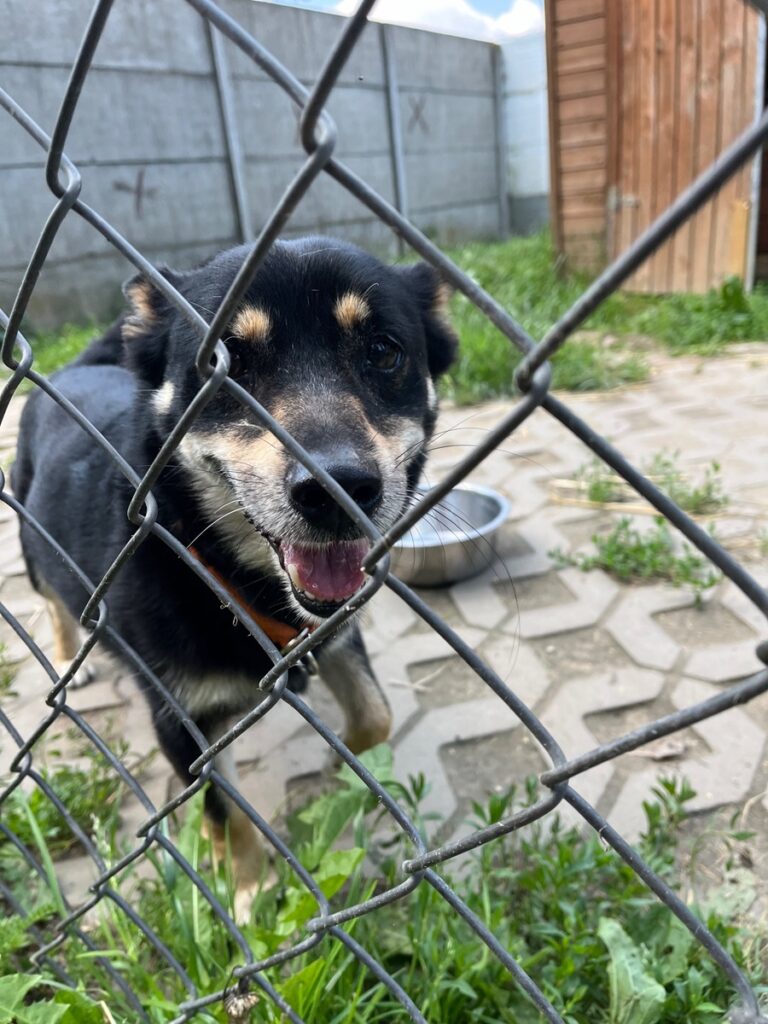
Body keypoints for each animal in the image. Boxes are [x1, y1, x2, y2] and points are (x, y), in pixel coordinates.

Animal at [13, 235, 456, 901]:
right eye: (225, 363)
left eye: (383, 351)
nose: (338, 491)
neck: (223, 575)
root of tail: (71, 371)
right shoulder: (182, 720)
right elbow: (225, 813)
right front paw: (248, 893)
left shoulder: (337, 635)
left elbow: (376, 716)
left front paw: (339, 766)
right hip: (30, 540)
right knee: (52, 600)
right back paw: (71, 656)